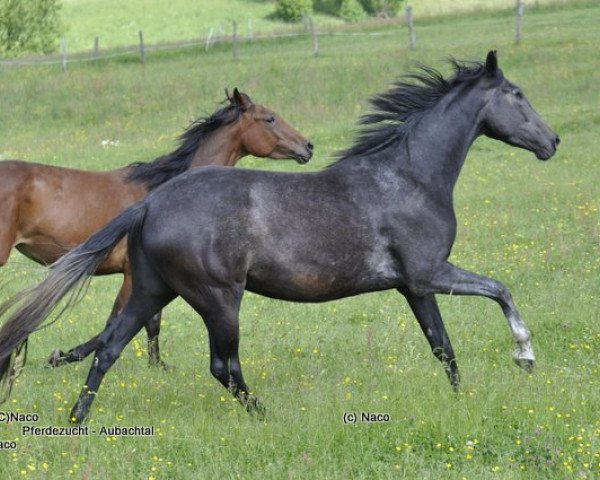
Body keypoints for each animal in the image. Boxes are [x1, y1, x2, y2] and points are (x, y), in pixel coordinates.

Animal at [1, 88, 314, 370]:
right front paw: (62, 356)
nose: (308, 146)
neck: (161, 191)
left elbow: (151, 322)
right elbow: (116, 323)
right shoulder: (131, 274)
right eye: (270, 118)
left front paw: (156, 364)